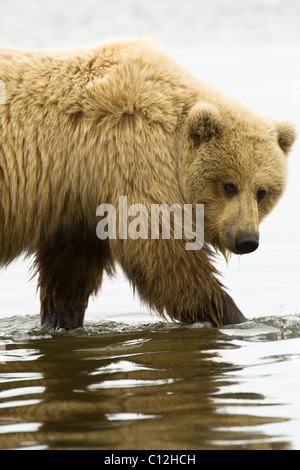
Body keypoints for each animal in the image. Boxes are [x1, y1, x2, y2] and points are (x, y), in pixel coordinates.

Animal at [0, 38, 296, 328]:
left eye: (262, 192)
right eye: (229, 186)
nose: (247, 239)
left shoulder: (78, 197)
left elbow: (69, 268)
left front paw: (61, 320)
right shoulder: (132, 158)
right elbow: (164, 256)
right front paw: (234, 316)